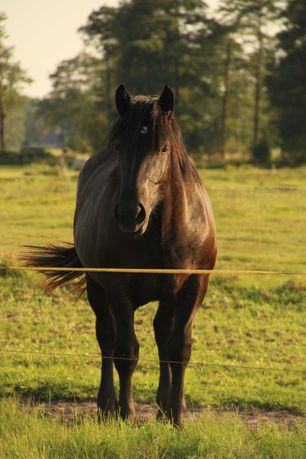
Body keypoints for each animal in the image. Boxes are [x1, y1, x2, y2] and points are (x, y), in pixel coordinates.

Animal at [25, 83, 218, 428]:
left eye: (163, 148)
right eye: (119, 146)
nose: (130, 214)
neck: (163, 233)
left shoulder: (194, 288)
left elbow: (179, 349)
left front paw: (177, 416)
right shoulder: (118, 289)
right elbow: (126, 350)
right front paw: (126, 413)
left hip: (166, 297)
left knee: (161, 335)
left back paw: (162, 406)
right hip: (97, 289)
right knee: (106, 338)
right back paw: (106, 405)